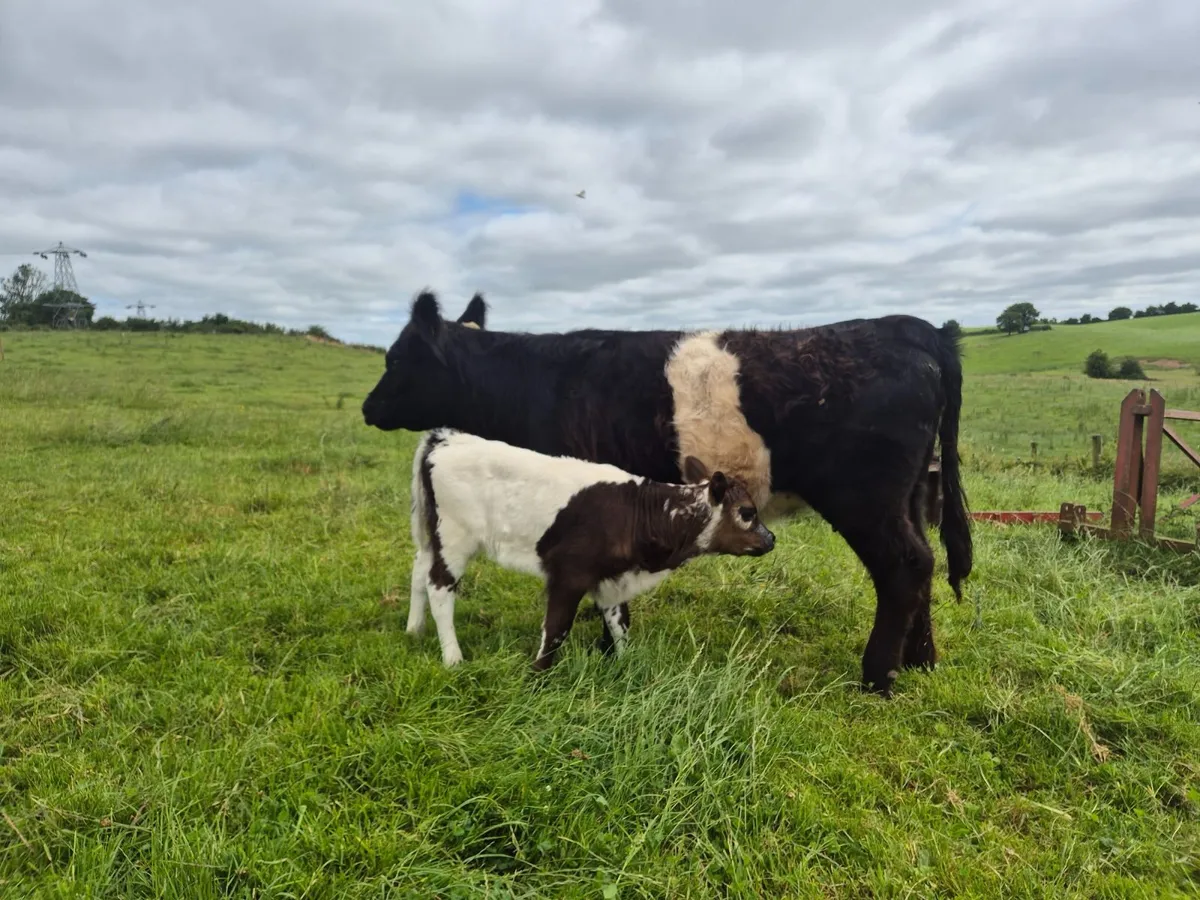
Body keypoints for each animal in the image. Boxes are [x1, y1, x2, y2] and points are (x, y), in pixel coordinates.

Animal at [407, 427, 775, 670]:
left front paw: (625, 665)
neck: (641, 513)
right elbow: (556, 629)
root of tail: (445, 438)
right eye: (747, 512)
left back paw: (414, 629)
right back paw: (453, 658)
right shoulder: (569, 573)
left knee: (418, 569)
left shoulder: (612, 577)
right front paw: (537, 675)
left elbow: (619, 622)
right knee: (439, 586)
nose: (771, 539)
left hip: (432, 534)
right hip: (455, 537)